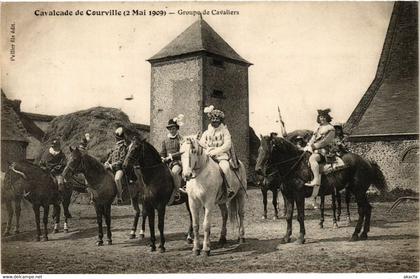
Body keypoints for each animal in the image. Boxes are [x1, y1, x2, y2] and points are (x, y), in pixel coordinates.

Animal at [254, 135, 386, 244]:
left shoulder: (299, 196)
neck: (295, 167)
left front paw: (301, 238)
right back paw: (364, 233)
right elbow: (288, 216)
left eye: (268, 151)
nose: (258, 170)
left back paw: (355, 234)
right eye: (259, 150)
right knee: (368, 208)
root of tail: (367, 161)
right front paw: (286, 237)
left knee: (362, 210)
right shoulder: (288, 196)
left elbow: (300, 216)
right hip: (360, 192)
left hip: (358, 191)